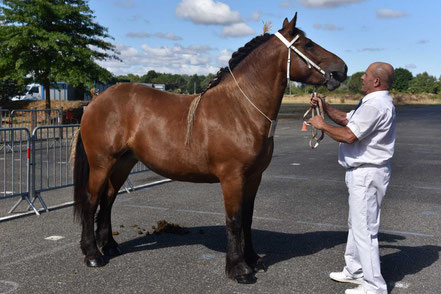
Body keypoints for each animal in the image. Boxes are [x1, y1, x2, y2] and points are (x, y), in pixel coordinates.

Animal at [71, 13, 348, 282]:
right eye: (308, 44)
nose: (342, 69)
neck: (241, 109)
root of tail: (96, 101)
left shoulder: (254, 177)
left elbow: (247, 217)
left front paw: (253, 259)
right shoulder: (232, 178)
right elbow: (234, 220)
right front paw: (239, 269)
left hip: (123, 163)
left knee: (107, 200)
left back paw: (111, 246)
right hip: (101, 163)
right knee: (91, 201)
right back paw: (93, 255)